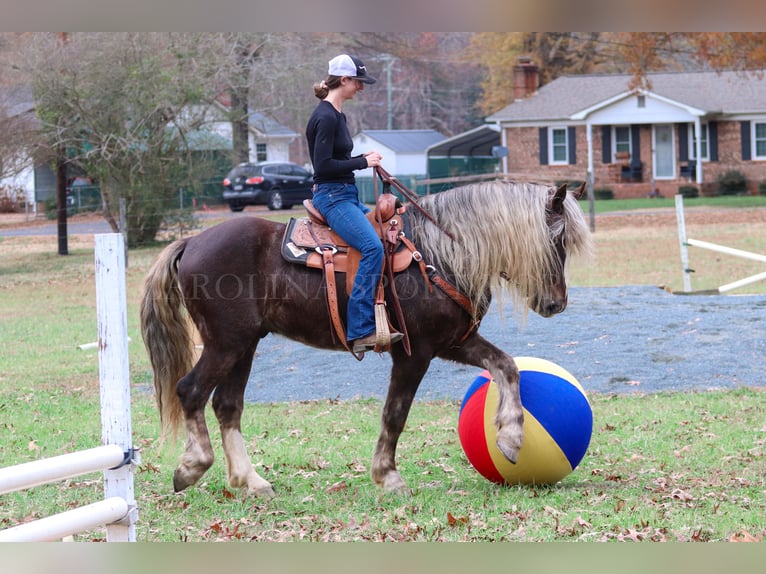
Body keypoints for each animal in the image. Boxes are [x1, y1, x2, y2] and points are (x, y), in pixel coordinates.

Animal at [140, 181, 592, 500]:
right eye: (556, 239)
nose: (557, 303)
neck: (440, 253)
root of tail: (192, 242)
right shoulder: (414, 353)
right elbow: (395, 413)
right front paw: (388, 476)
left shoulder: (453, 343)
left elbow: (507, 366)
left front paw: (511, 436)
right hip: (226, 344)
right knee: (191, 390)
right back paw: (192, 466)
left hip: (244, 346)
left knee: (227, 405)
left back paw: (251, 480)